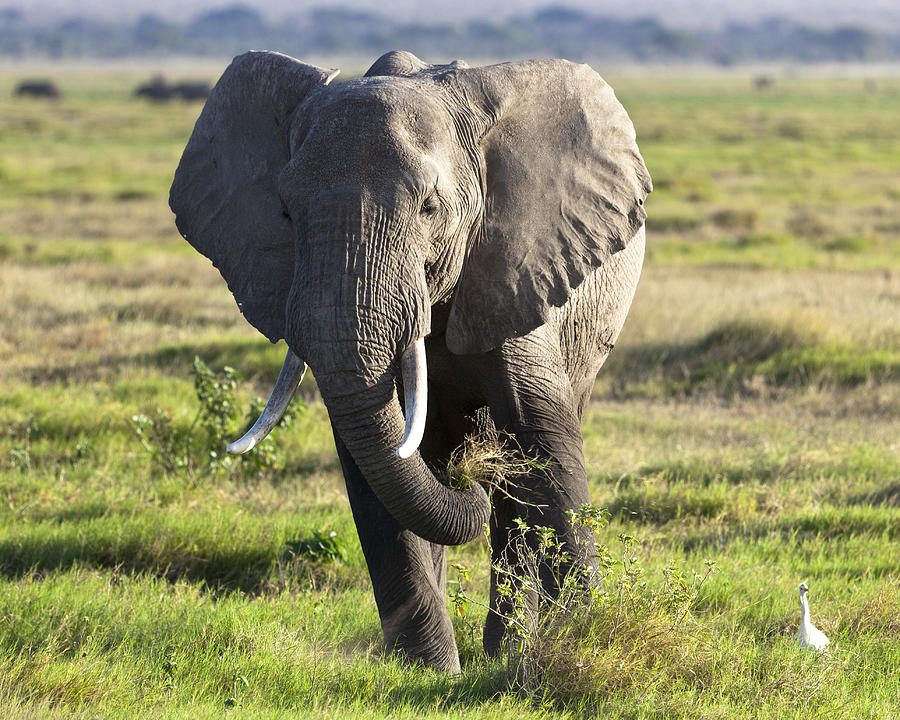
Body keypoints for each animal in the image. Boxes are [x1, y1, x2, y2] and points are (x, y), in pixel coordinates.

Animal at [171, 49, 648, 668]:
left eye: (429, 208)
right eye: (287, 213)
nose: (472, 473)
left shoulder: (515, 264)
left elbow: (542, 441)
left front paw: (583, 641)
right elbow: (373, 468)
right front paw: (427, 671)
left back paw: (506, 649)